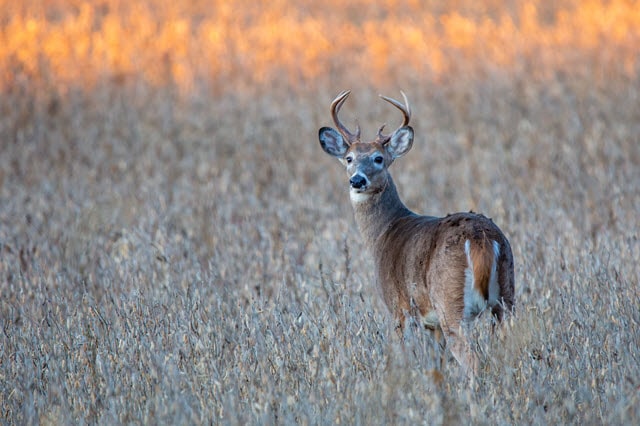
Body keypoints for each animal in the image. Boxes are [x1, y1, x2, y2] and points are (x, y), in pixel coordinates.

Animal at [320, 89, 516, 372]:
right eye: (349, 158)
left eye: (379, 158)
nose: (357, 180)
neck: (384, 232)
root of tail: (481, 238)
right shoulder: (432, 324)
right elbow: (437, 364)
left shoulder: (397, 307)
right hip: (506, 297)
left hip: (451, 303)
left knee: (472, 360)